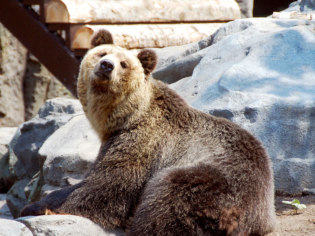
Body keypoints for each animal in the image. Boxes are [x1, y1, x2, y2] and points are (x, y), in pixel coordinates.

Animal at [21, 30, 276, 236]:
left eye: (123, 63)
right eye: (102, 52)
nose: (106, 65)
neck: (122, 117)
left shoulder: (142, 142)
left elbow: (105, 189)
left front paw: (45, 208)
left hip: (214, 182)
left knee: (167, 199)